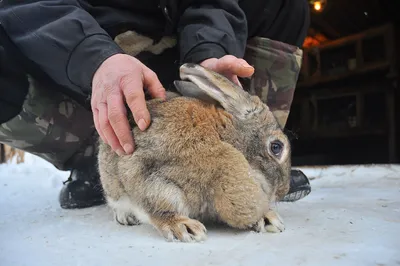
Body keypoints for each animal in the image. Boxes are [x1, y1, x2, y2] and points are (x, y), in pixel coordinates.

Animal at [97, 63, 290, 242]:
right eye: (276, 147)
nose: (283, 191)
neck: (224, 135)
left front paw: (268, 218)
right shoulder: (147, 172)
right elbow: (158, 205)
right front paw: (183, 227)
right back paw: (125, 216)